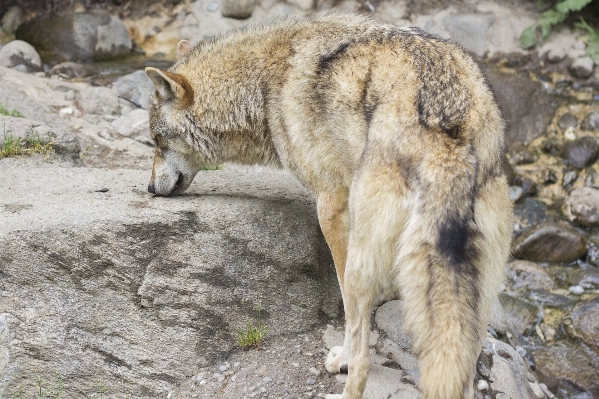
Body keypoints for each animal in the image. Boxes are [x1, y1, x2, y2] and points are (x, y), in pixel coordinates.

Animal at [144, 13, 510, 399]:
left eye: (156, 140)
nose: (150, 188)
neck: (265, 86)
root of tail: (449, 139)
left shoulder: (330, 206)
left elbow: (347, 312)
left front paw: (341, 360)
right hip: (476, 298)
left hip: (363, 262)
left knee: (365, 357)